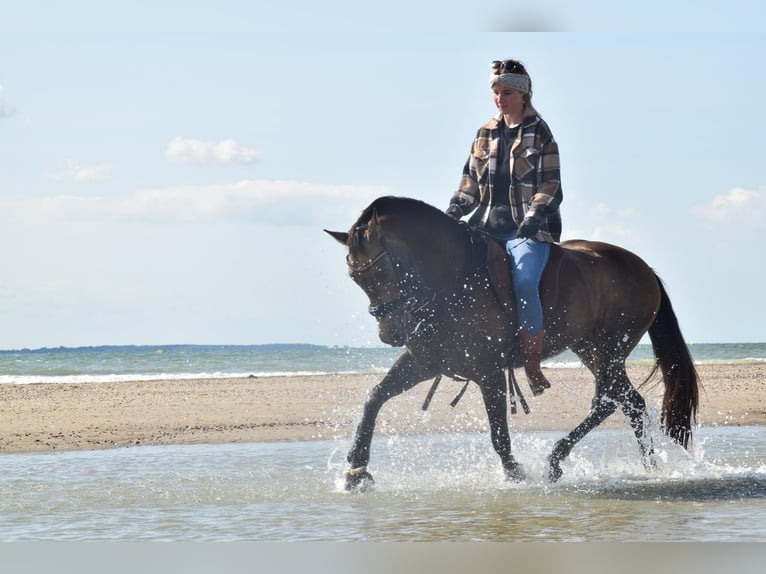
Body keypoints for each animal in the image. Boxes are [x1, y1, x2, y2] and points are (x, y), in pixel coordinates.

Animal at [328, 197, 700, 490]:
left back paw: (557, 459)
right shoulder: (425, 361)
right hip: (589, 348)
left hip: (608, 350)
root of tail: (643, 268)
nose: (389, 334)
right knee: (629, 402)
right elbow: (374, 397)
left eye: (382, 272)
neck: (453, 280)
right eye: (354, 277)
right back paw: (648, 466)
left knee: (609, 401)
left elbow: (498, 431)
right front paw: (356, 469)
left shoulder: (488, 370)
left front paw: (514, 473)